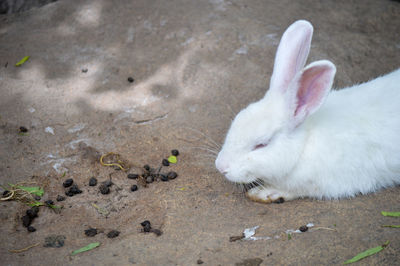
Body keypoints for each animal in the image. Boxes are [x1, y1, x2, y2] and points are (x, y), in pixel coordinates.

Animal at [216, 20, 400, 204]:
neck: (305, 144)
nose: (221, 166)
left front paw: (265, 192)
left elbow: (300, 189)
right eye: (236, 120)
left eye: (262, 144)